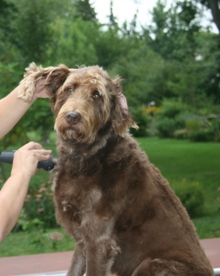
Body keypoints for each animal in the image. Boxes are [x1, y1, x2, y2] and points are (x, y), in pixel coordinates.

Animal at [18, 64, 213, 276]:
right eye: (68, 89)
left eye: (97, 95)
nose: (72, 117)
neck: (86, 156)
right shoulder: (82, 240)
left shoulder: (99, 241)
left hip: (151, 264)